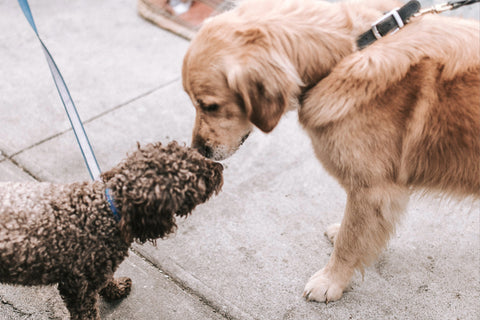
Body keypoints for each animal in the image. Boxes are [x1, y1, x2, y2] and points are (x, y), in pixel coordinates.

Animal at [0, 142, 224, 320]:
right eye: (194, 175)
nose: (219, 167)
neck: (107, 211)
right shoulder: (78, 288)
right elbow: (88, 314)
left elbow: (107, 280)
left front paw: (115, 289)